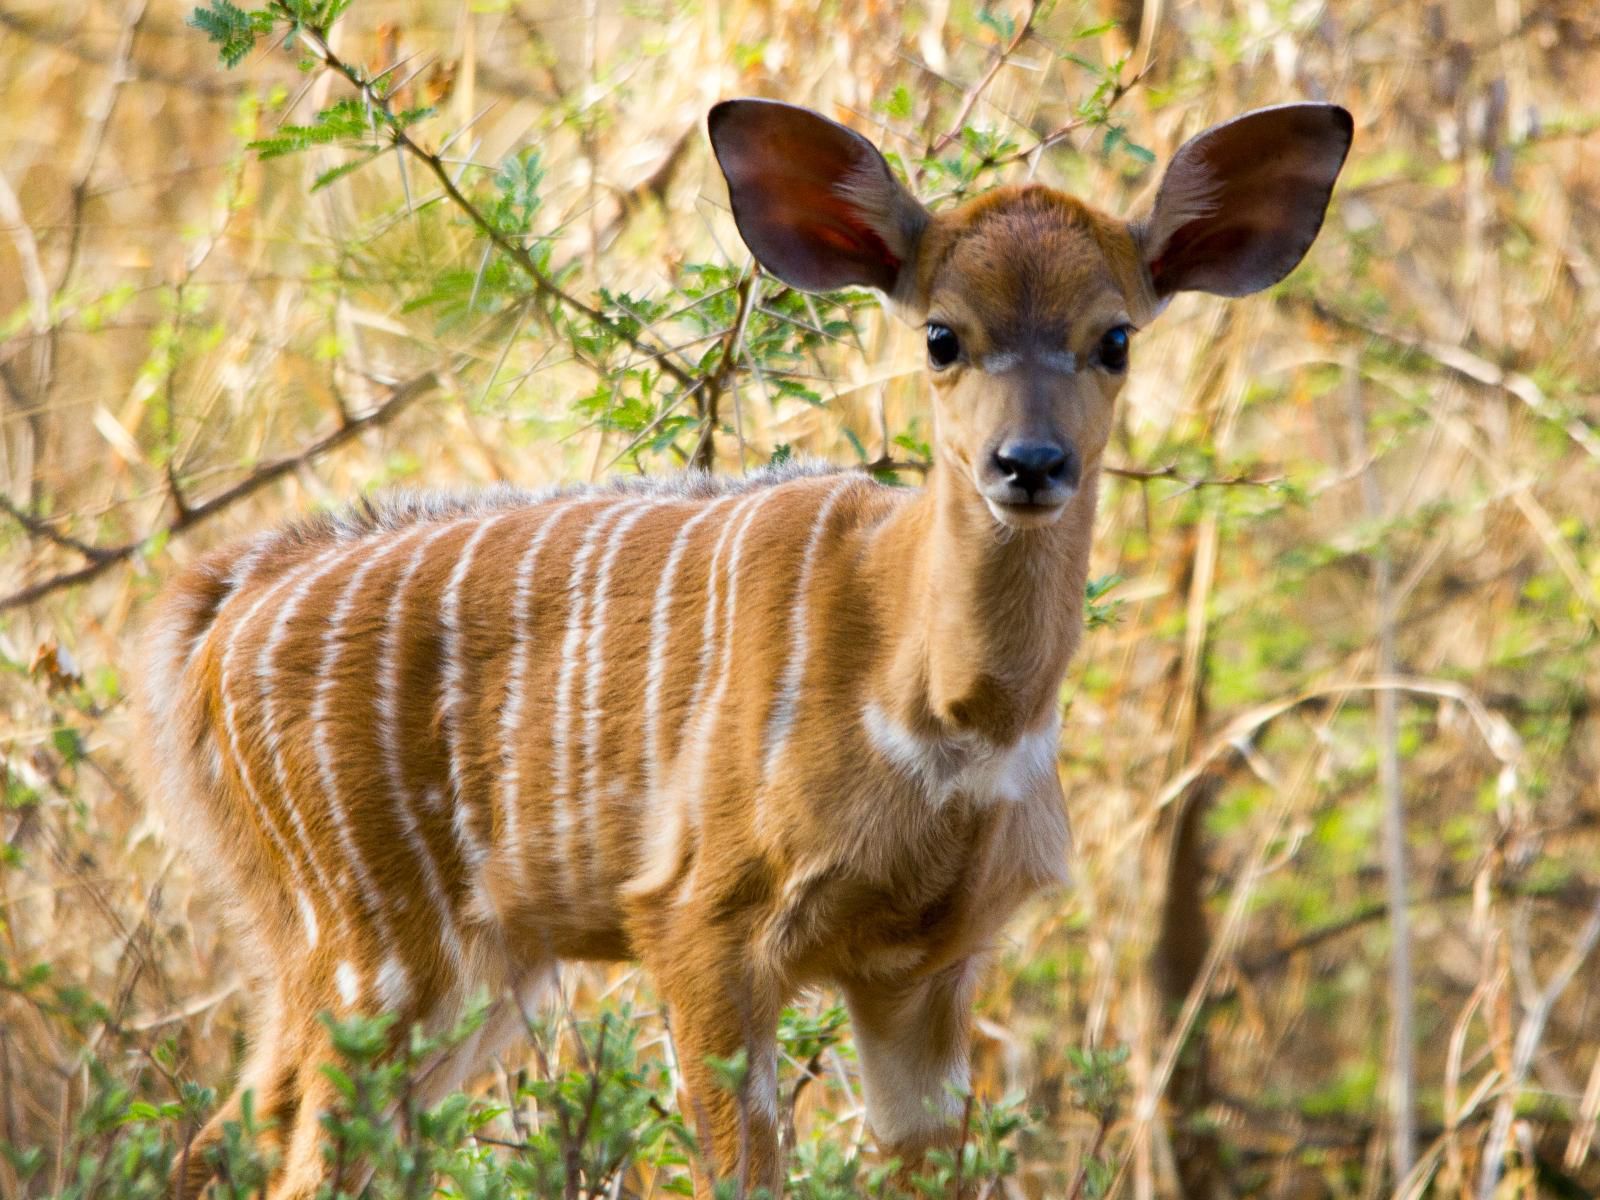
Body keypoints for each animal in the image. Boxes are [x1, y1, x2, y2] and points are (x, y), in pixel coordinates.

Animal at [140, 96, 1350, 1200]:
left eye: (1115, 338)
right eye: (942, 334)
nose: (1029, 463)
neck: (948, 714)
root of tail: (220, 609)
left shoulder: (929, 966)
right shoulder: (702, 923)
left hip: (467, 971)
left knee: (238, 1129)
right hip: (377, 947)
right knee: (299, 1157)